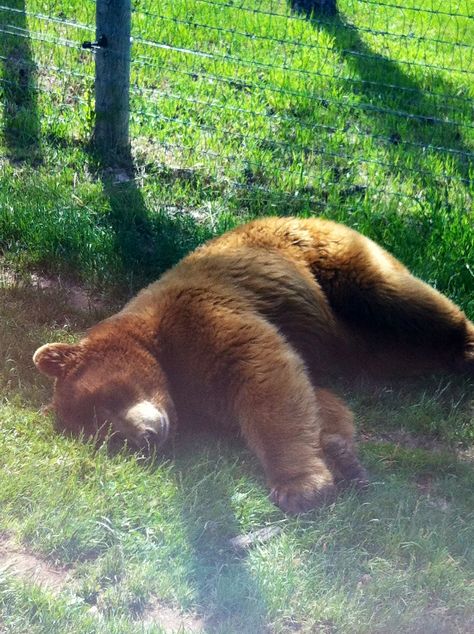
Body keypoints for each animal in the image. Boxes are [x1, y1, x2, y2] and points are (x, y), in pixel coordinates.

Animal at [33, 217, 474, 512]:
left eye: (108, 398)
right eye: (106, 435)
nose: (145, 437)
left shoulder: (200, 316)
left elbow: (263, 374)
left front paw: (300, 487)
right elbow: (314, 397)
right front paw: (341, 455)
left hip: (329, 261)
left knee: (403, 299)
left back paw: (465, 346)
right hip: (362, 341)